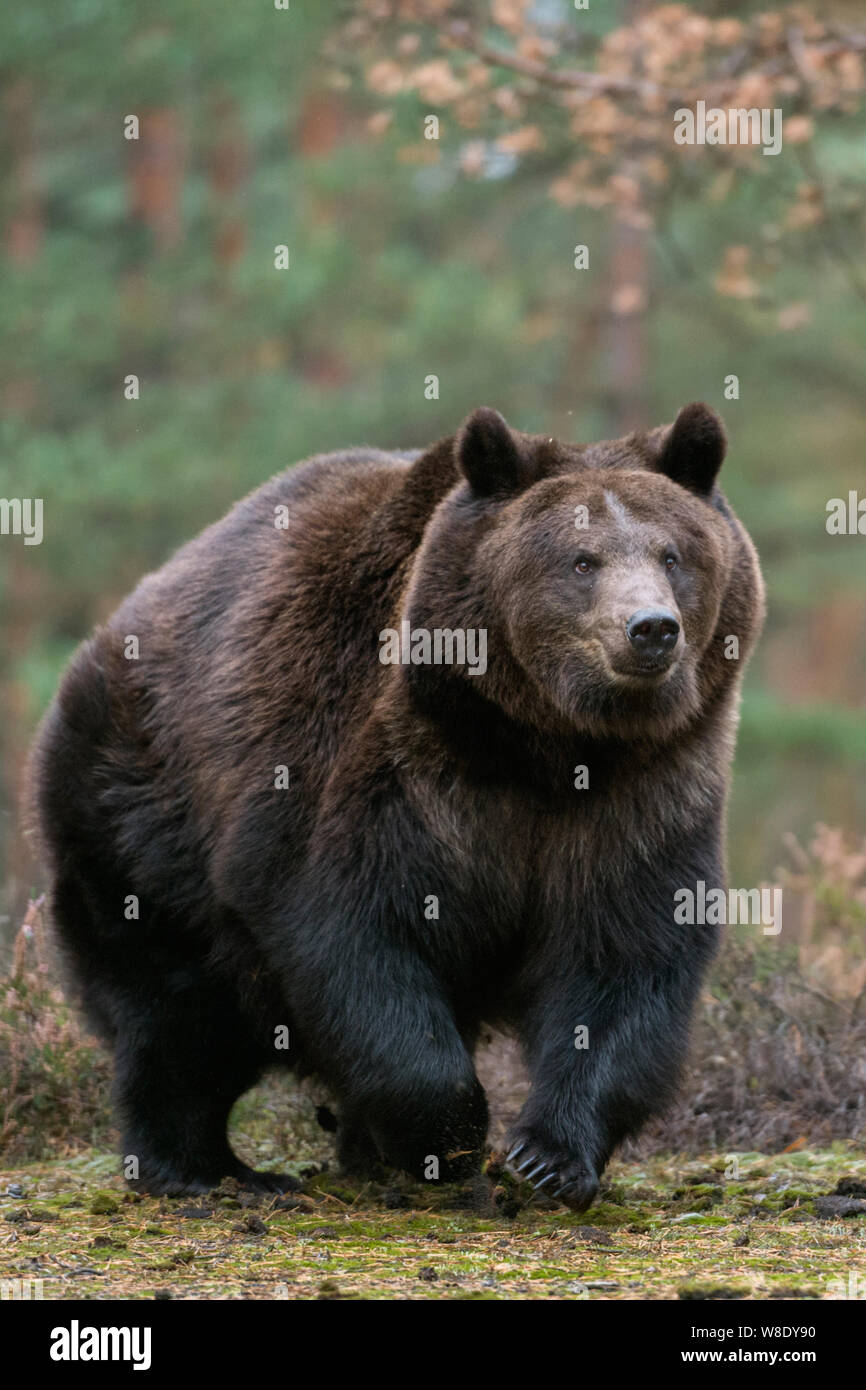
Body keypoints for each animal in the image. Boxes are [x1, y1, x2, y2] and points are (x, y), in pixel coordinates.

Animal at [23, 403, 761, 1206]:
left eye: (672, 554)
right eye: (580, 560)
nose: (650, 628)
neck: (539, 743)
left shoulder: (646, 792)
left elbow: (626, 956)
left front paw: (548, 1156)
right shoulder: (377, 768)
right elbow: (352, 932)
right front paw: (449, 1136)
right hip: (138, 807)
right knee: (174, 1007)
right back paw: (207, 1169)